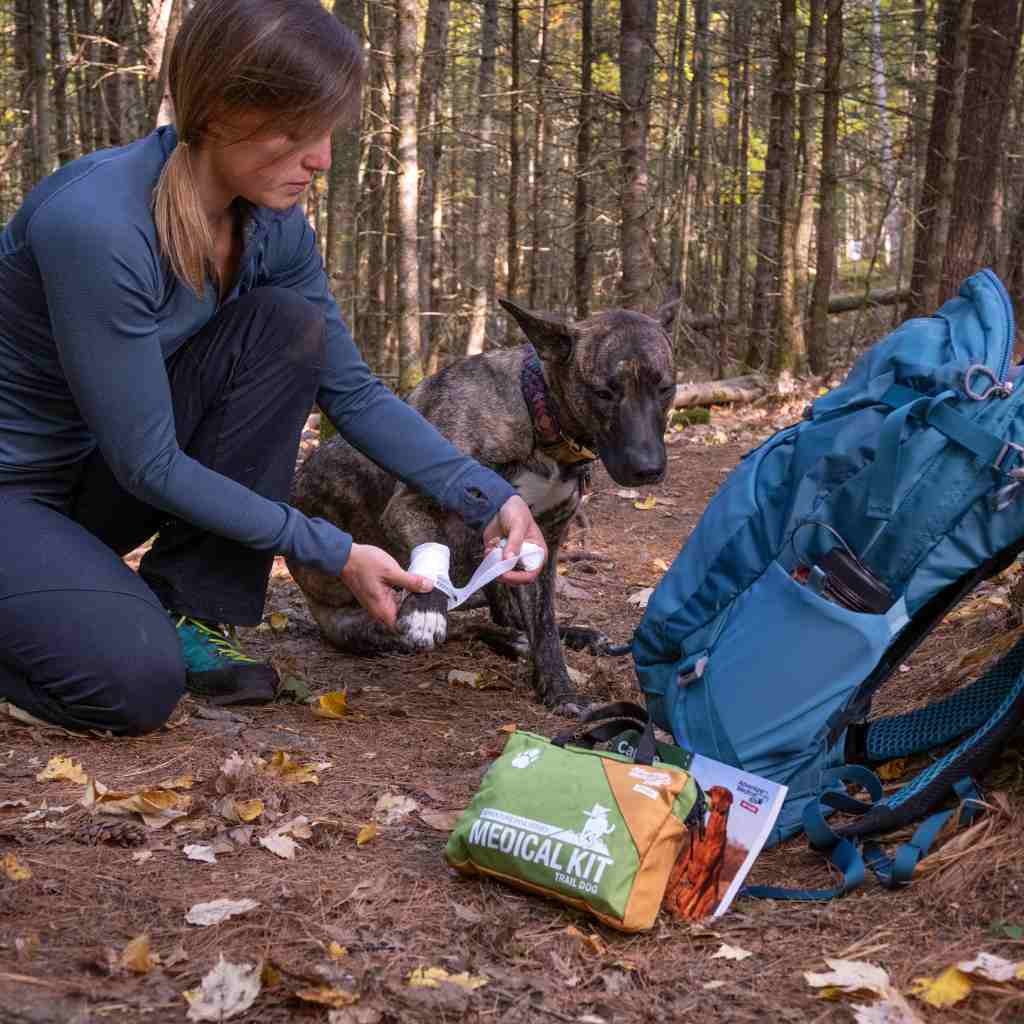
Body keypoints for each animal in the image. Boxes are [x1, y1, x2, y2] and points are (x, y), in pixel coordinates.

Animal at [286, 296, 679, 712]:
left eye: (666, 388)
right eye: (603, 393)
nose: (648, 469)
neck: (537, 415)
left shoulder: (540, 542)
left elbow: (545, 622)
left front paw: (559, 688)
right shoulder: (409, 505)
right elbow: (435, 553)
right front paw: (426, 608)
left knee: (505, 614)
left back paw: (572, 635)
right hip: (369, 620)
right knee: (468, 624)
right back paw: (503, 637)